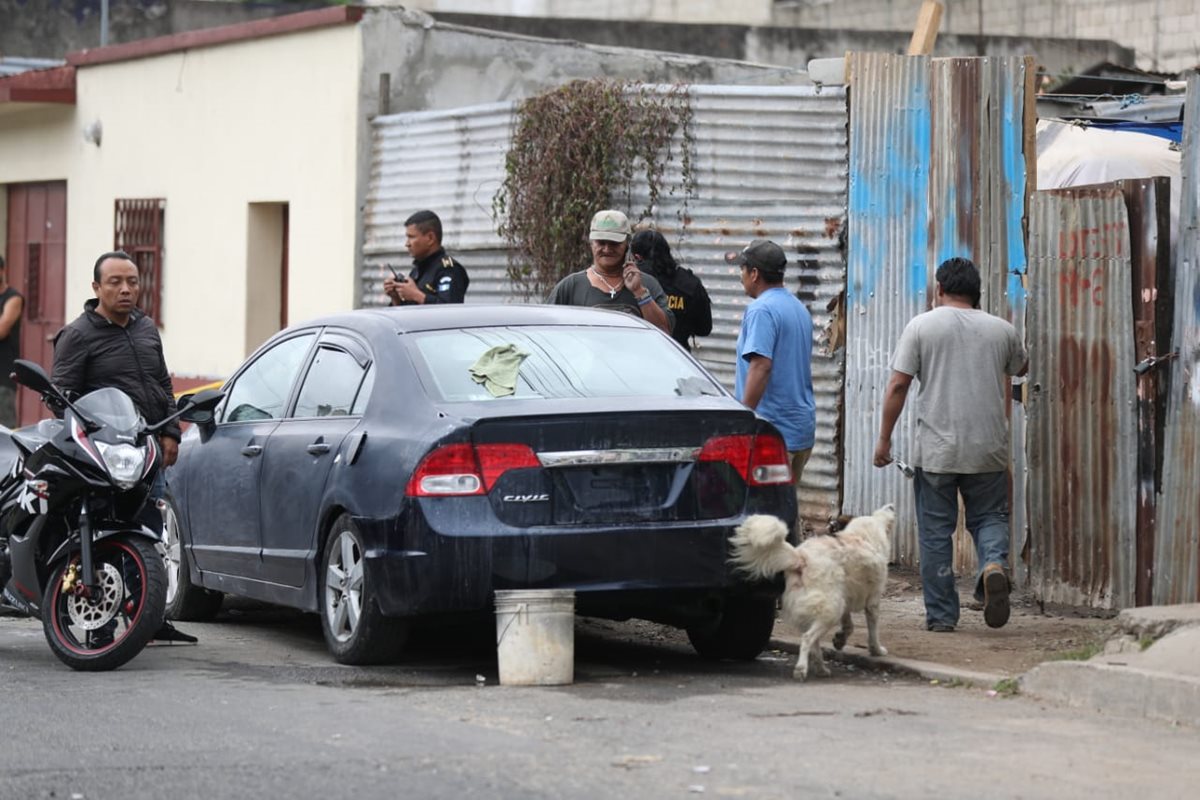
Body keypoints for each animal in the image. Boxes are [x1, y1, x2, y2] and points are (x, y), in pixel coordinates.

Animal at [724, 506, 897, 681]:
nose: (891, 506)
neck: (862, 536)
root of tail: (801, 559)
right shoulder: (873, 601)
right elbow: (873, 630)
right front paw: (877, 650)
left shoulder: (846, 600)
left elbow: (849, 625)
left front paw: (840, 640)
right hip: (831, 609)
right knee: (807, 639)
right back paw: (801, 669)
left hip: (826, 605)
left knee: (813, 642)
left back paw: (821, 669)